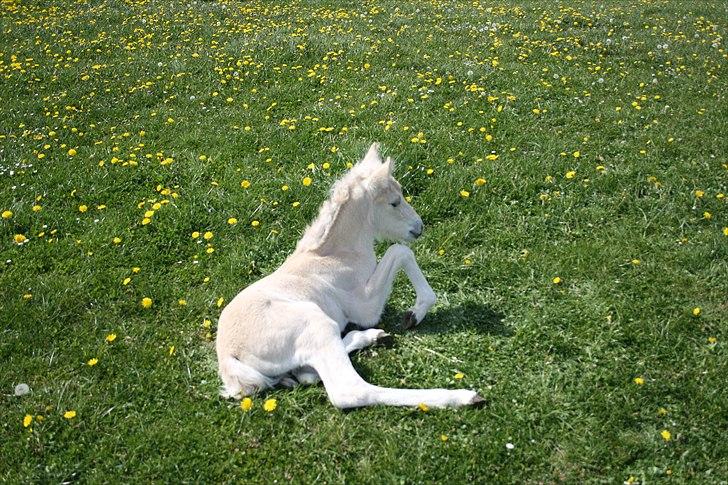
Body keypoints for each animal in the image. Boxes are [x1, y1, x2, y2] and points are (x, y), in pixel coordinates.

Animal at [216, 144, 484, 408]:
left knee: (308, 374)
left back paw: (373, 336)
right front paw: (415, 314)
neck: (336, 255)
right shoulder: (364, 308)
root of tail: (229, 358)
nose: (419, 227)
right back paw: (461, 397)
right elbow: (400, 251)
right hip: (316, 324)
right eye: (395, 202)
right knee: (347, 390)